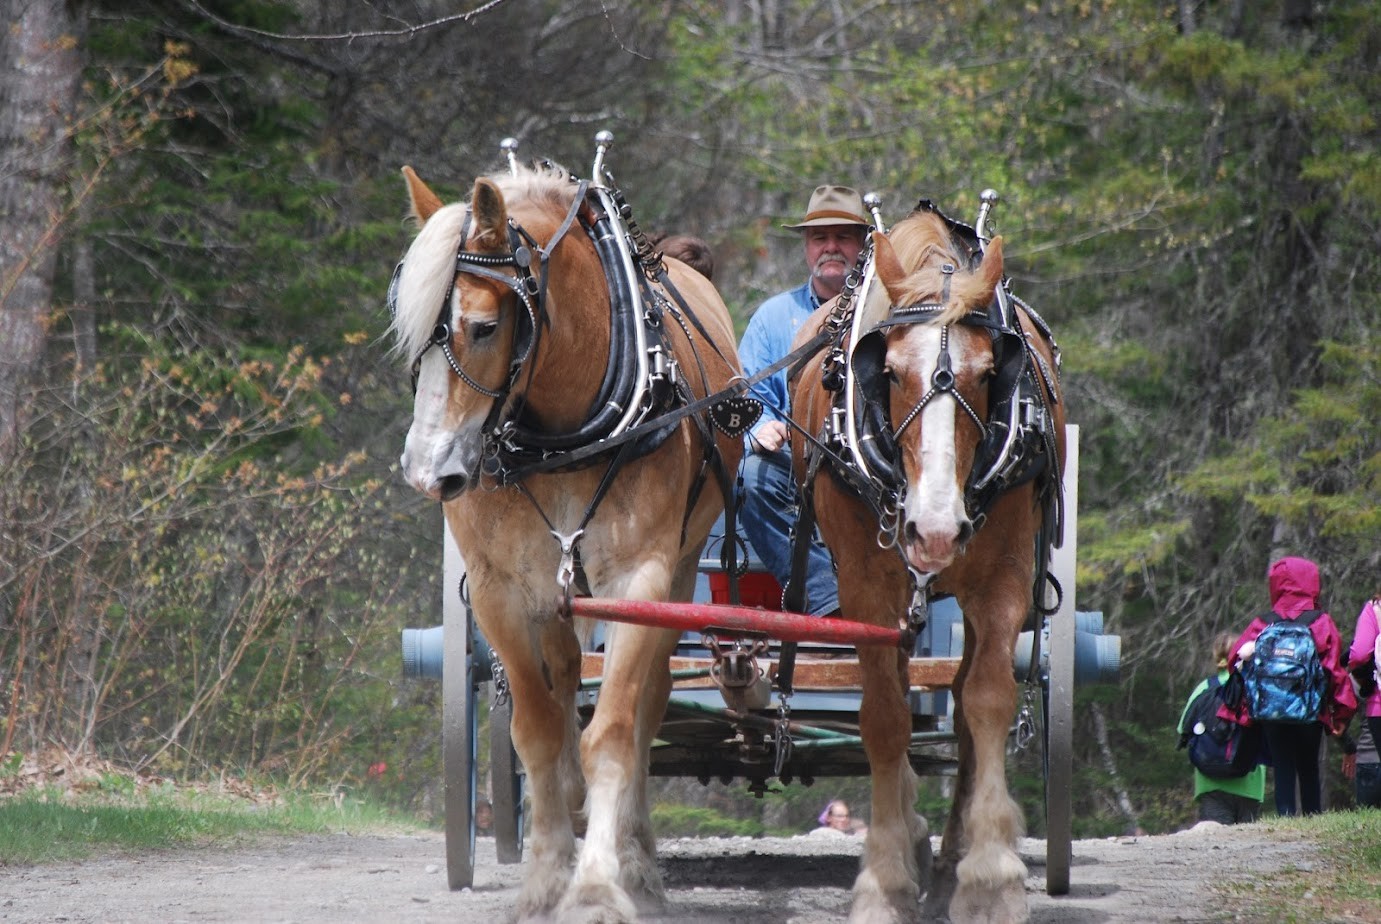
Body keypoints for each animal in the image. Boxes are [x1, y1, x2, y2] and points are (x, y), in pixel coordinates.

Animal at [386, 162, 745, 917]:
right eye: (411, 330)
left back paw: (637, 859)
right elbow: (538, 729)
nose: (428, 471)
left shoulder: (638, 581)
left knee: (646, 705)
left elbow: (611, 730)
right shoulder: (499, 591)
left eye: (483, 327)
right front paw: (547, 875)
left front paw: (600, 883)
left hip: (676, 575)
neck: (559, 436)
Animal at [789, 208, 1066, 922]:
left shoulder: (1001, 580)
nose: (936, 528)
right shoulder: (865, 589)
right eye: (888, 372)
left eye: (987, 373)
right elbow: (885, 719)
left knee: (965, 702)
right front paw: (885, 880)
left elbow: (986, 702)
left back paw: (947, 865)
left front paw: (991, 880)